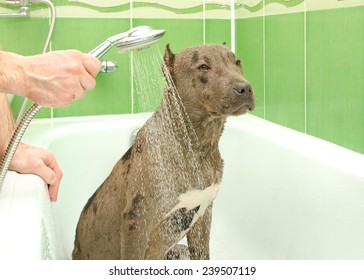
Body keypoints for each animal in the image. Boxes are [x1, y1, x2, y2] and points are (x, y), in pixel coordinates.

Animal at [72, 43, 255, 260]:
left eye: (237, 62)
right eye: (203, 66)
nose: (245, 88)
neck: (195, 146)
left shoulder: (203, 216)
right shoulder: (137, 223)